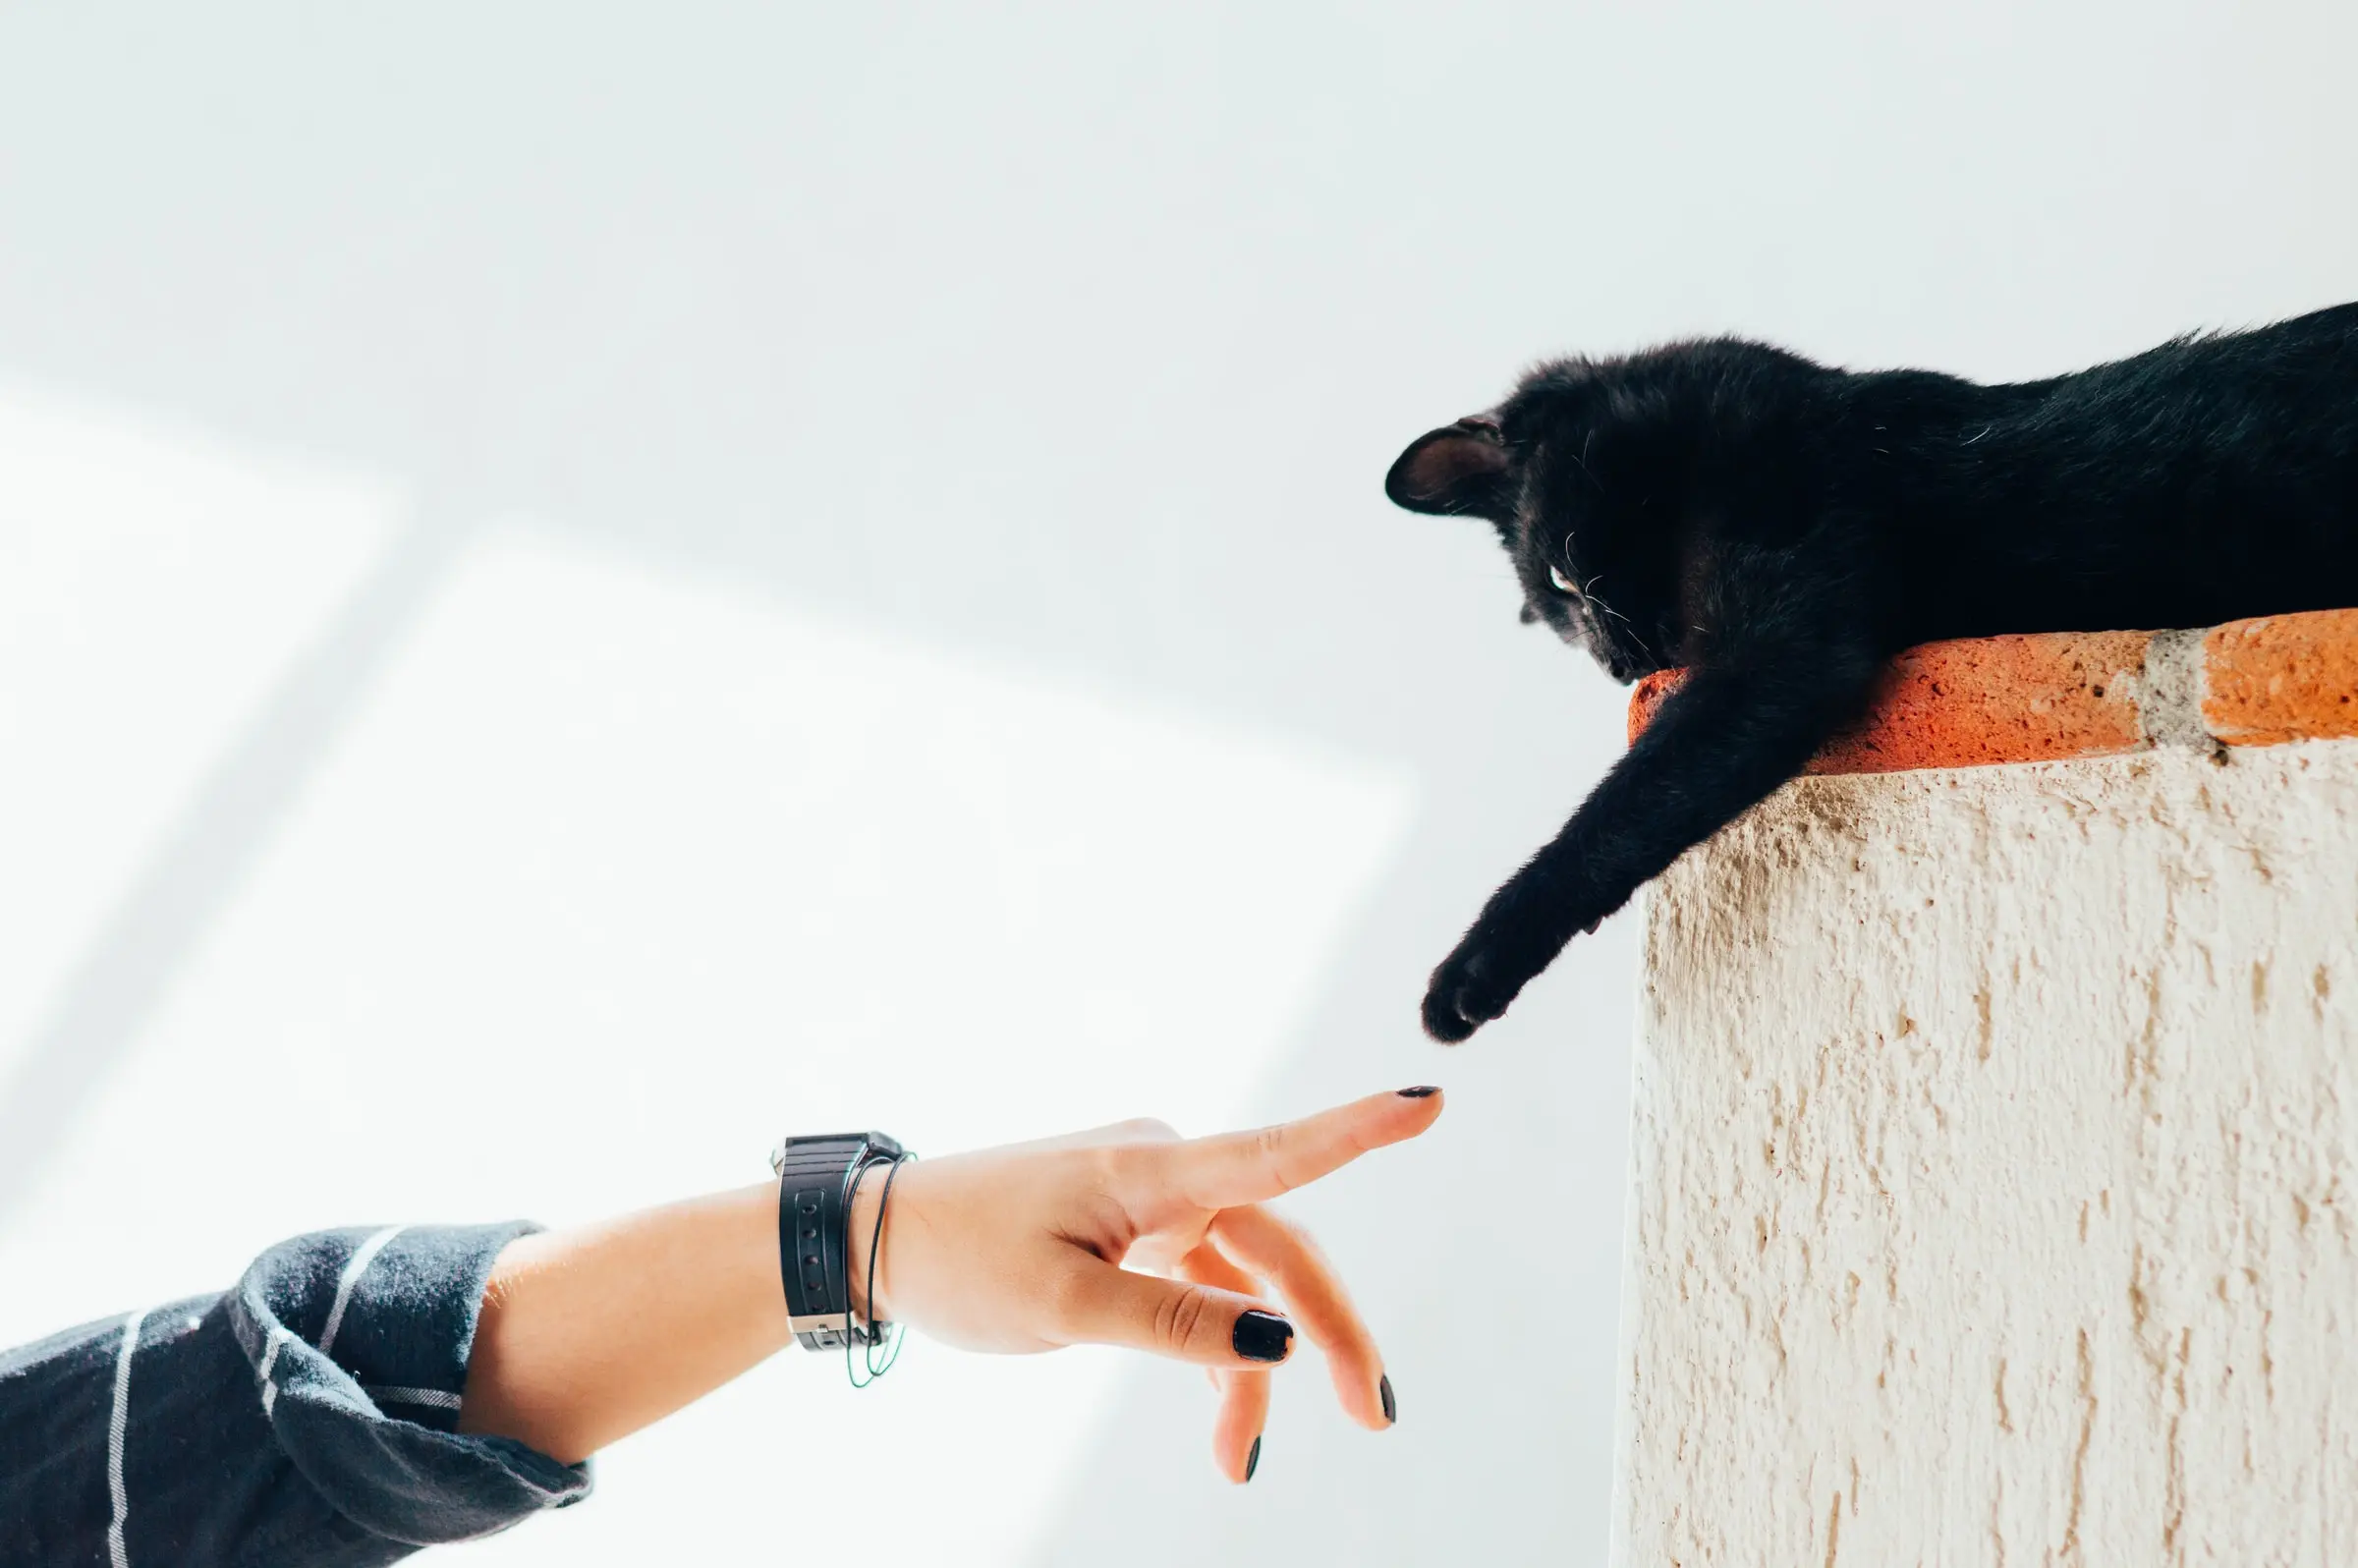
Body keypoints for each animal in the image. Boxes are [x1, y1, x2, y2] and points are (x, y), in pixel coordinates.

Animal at [1386, 302, 2348, 1037]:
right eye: (1552, 610)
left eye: (1563, 577)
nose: (1621, 666)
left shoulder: (1780, 645)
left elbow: (1622, 811)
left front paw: (1472, 968)